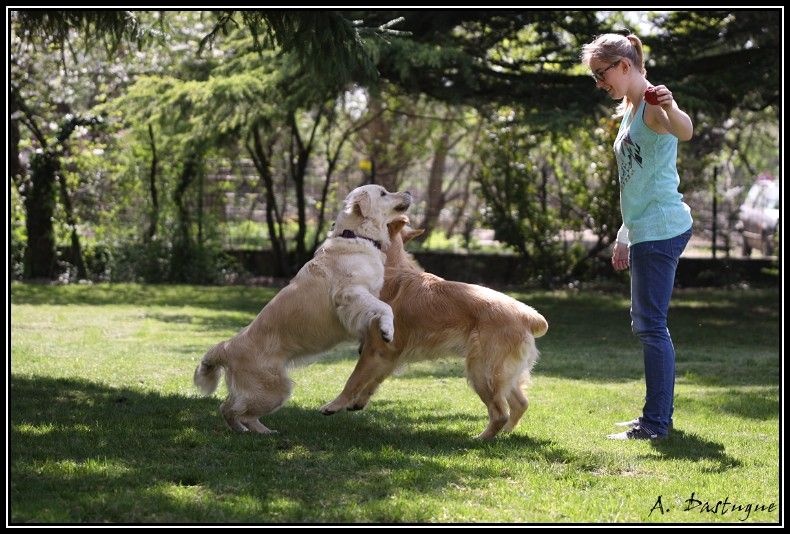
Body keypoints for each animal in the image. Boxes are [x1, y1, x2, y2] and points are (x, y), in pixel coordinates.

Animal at [196, 185, 414, 436]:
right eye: (383, 193)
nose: (409, 191)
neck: (357, 235)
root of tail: (228, 347)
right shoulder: (350, 294)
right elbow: (385, 307)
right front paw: (388, 330)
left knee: (231, 407)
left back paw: (260, 431)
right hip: (274, 389)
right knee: (233, 410)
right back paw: (254, 432)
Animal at [322, 217, 552, 440]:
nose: (333, 225)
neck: (394, 269)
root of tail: (529, 316)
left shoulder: (374, 348)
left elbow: (353, 380)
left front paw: (334, 405)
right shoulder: (389, 354)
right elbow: (373, 381)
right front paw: (358, 402)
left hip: (481, 371)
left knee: (500, 413)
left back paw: (480, 439)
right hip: (503, 374)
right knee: (520, 404)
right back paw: (503, 435)